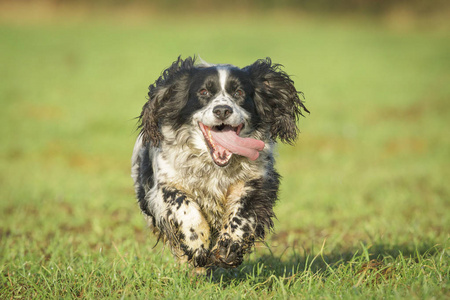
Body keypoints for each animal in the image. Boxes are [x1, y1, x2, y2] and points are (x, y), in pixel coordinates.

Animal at [130, 56, 306, 272]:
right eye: (203, 92)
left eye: (239, 93)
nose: (222, 110)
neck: (214, 166)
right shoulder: (163, 186)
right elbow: (183, 205)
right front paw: (197, 242)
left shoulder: (257, 182)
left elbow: (242, 213)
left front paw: (228, 247)